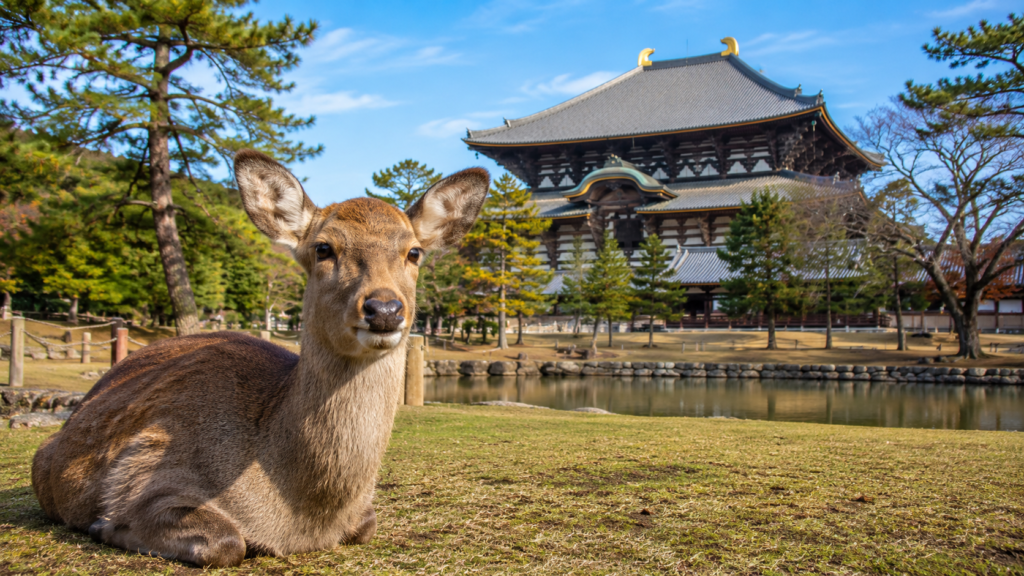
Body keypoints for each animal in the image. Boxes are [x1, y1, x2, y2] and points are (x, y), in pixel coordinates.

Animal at [31, 150, 489, 568]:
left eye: (414, 252)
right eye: (323, 248)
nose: (385, 309)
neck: (303, 518)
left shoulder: (362, 515)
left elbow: (368, 524)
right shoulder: (143, 471)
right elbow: (226, 542)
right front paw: (104, 525)